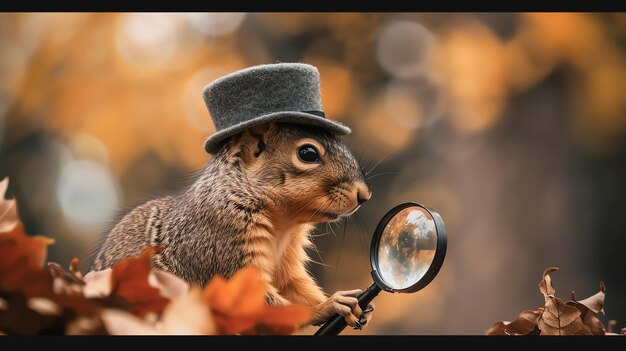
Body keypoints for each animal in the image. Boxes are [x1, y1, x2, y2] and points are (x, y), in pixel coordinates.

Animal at [91, 121, 372, 330]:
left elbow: (293, 286)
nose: (364, 195)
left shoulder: (286, 262)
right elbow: (259, 304)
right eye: (308, 153)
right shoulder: (221, 242)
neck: (282, 224)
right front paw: (326, 307)